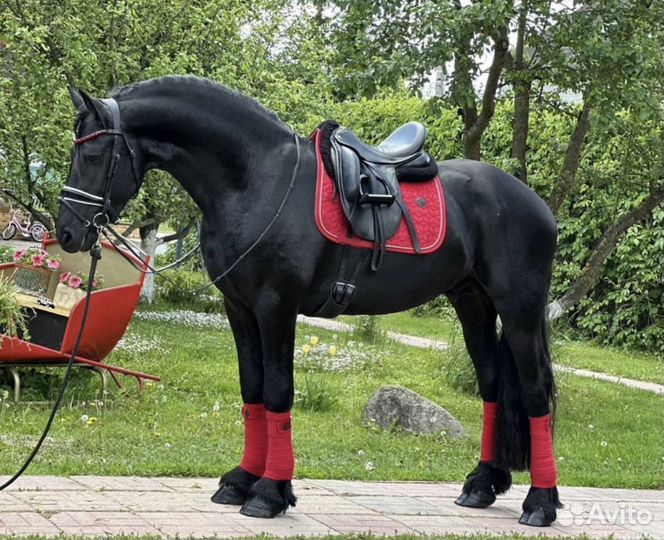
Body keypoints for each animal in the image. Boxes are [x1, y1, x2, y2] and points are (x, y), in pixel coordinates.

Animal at [56, 76, 561, 526]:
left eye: (94, 154)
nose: (67, 233)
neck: (255, 181)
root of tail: (535, 203)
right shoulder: (239, 309)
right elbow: (253, 391)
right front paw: (241, 480)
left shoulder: (276, 306)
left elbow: (278, 390)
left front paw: (269, 493)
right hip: (472, 303)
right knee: (492, 386)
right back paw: (481, 485)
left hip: (519, 310)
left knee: (535, 393)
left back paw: (540, 503)